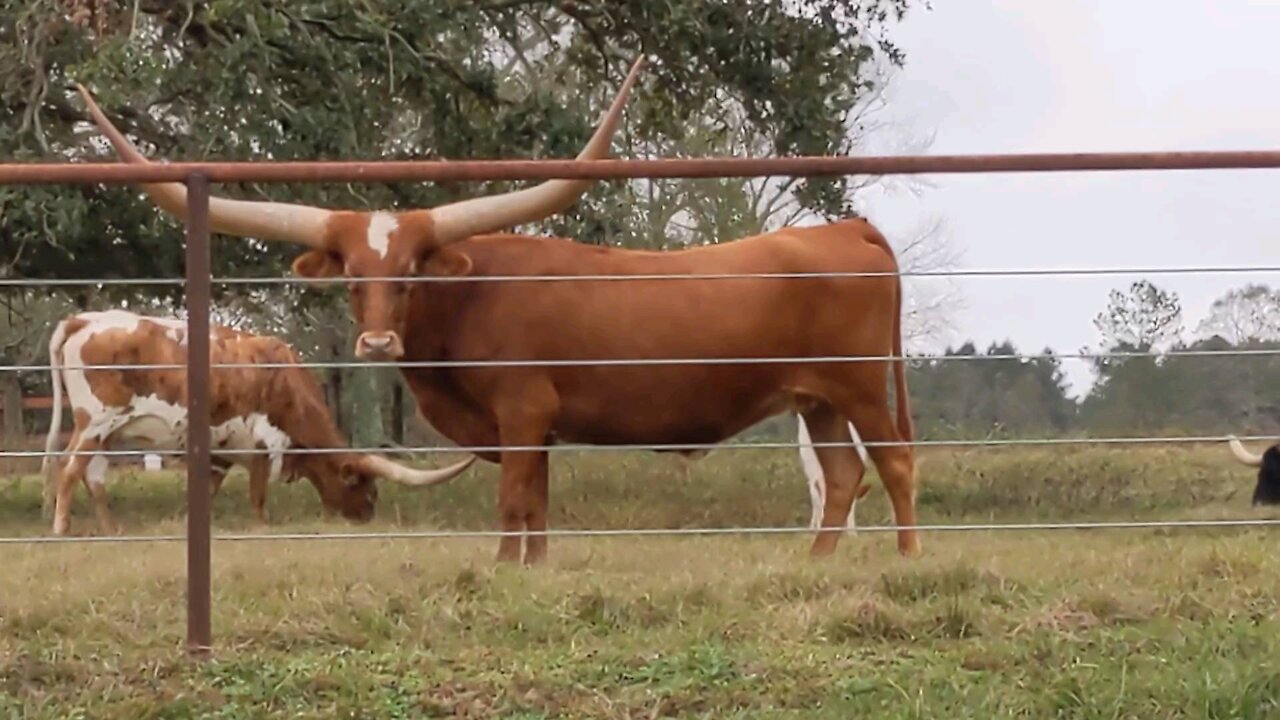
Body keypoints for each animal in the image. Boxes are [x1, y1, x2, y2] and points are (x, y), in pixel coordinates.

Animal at [45, 308, 478, 532]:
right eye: (363, 488)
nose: (367, 517)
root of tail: (86, 320)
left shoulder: (219, 451)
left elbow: (209, 490)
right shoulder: (263, 441)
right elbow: (257, 492)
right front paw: (261, 526)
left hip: (106, 432)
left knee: (94, 476)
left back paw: (111, 529)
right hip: (95, 422)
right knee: (69, 469)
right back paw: (61, 528)